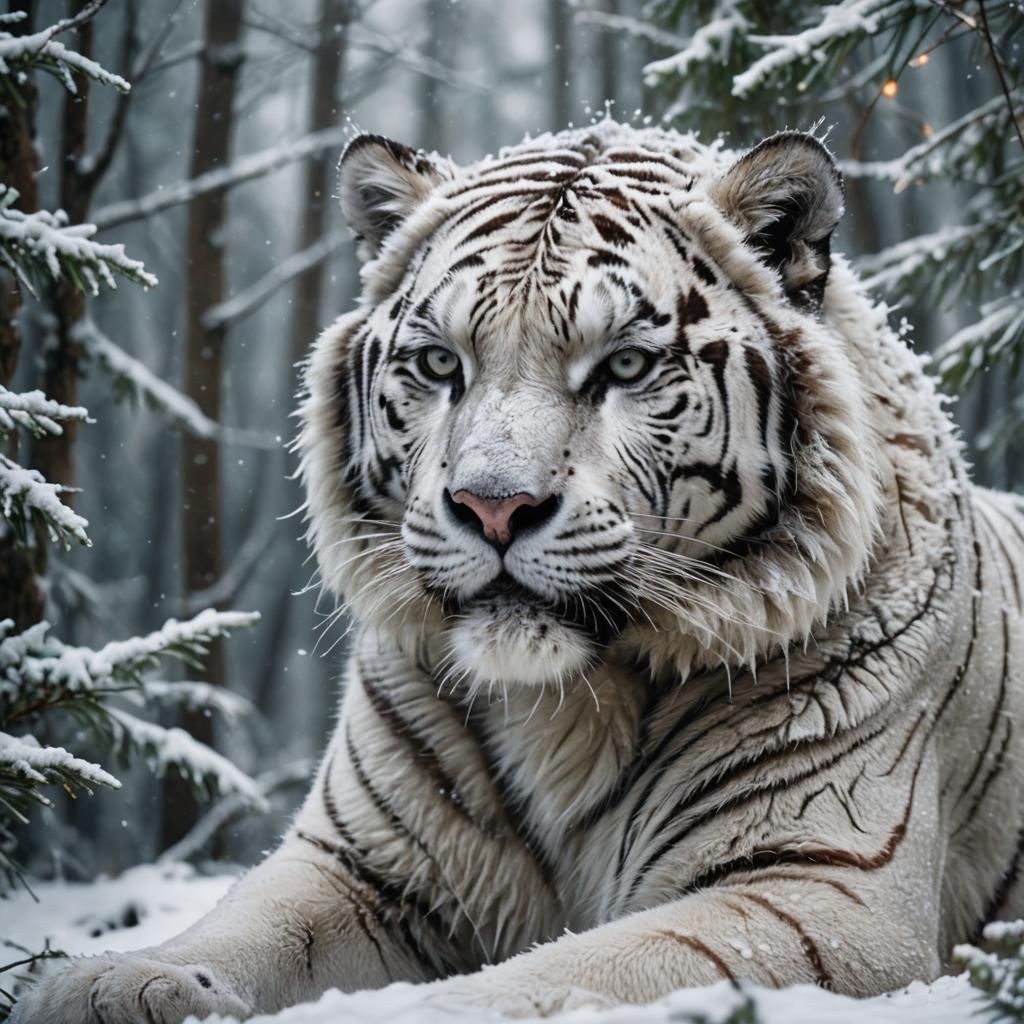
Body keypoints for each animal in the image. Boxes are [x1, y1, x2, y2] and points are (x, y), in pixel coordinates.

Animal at [14, 119, 1024, 1024]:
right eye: (438, 363)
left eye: (625, 364)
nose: (493, 506)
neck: (566, 705)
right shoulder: (358, 861)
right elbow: (242, 929)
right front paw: (106, 984)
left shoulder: (819, 883)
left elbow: (557, 976)